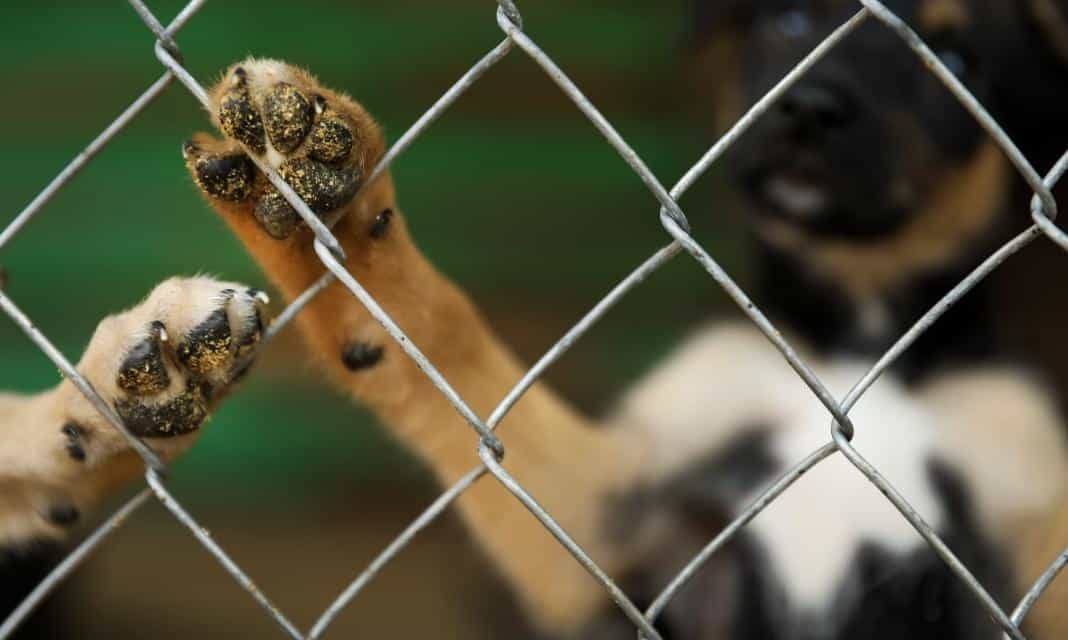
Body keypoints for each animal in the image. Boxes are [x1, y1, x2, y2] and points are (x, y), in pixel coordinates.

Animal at [2, 1, 1068, 640]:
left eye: (955, 57)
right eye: (792, 20)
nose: (810, 108)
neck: (854, 330)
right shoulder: (611, 528)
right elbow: (434, 335)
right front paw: (321, 200)